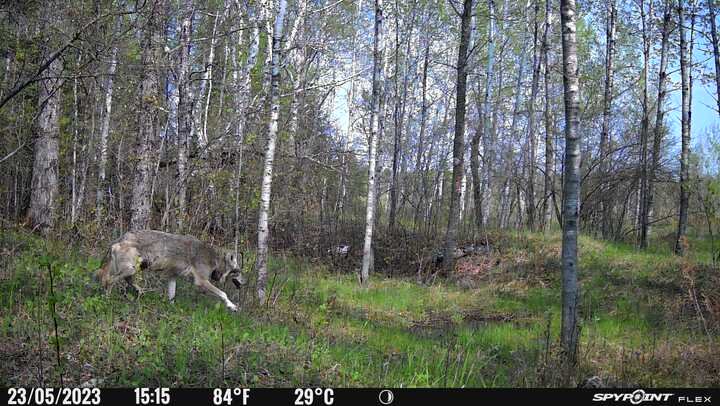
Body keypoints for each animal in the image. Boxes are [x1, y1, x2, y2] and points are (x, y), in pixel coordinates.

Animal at [94, 230, 245, 311]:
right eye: (238, 272)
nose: (245, 283)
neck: (214, 258)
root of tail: (120, 238)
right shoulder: (201, 281)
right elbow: (223, 294)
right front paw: (232, 306)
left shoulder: (172, 277)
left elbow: (172, 297)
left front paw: (172, 309)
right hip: (131, 269)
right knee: (109, 281)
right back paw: (107, 299)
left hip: (137, 268)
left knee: (126, 280)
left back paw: (140, 291)